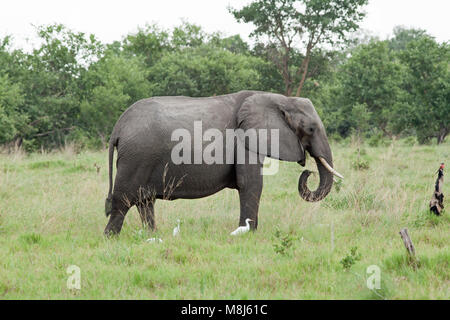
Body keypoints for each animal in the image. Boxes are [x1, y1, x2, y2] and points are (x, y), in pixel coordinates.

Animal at [103, 90, 342, 235]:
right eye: (310, 129)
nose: (308, 172)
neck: (279, 98)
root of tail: (118, 127)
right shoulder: (245, 139)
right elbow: (251, 184)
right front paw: (249, 234)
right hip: (136, 157)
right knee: (123, 201)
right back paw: (111, 238)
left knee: (145, 201)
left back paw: (152, 235)